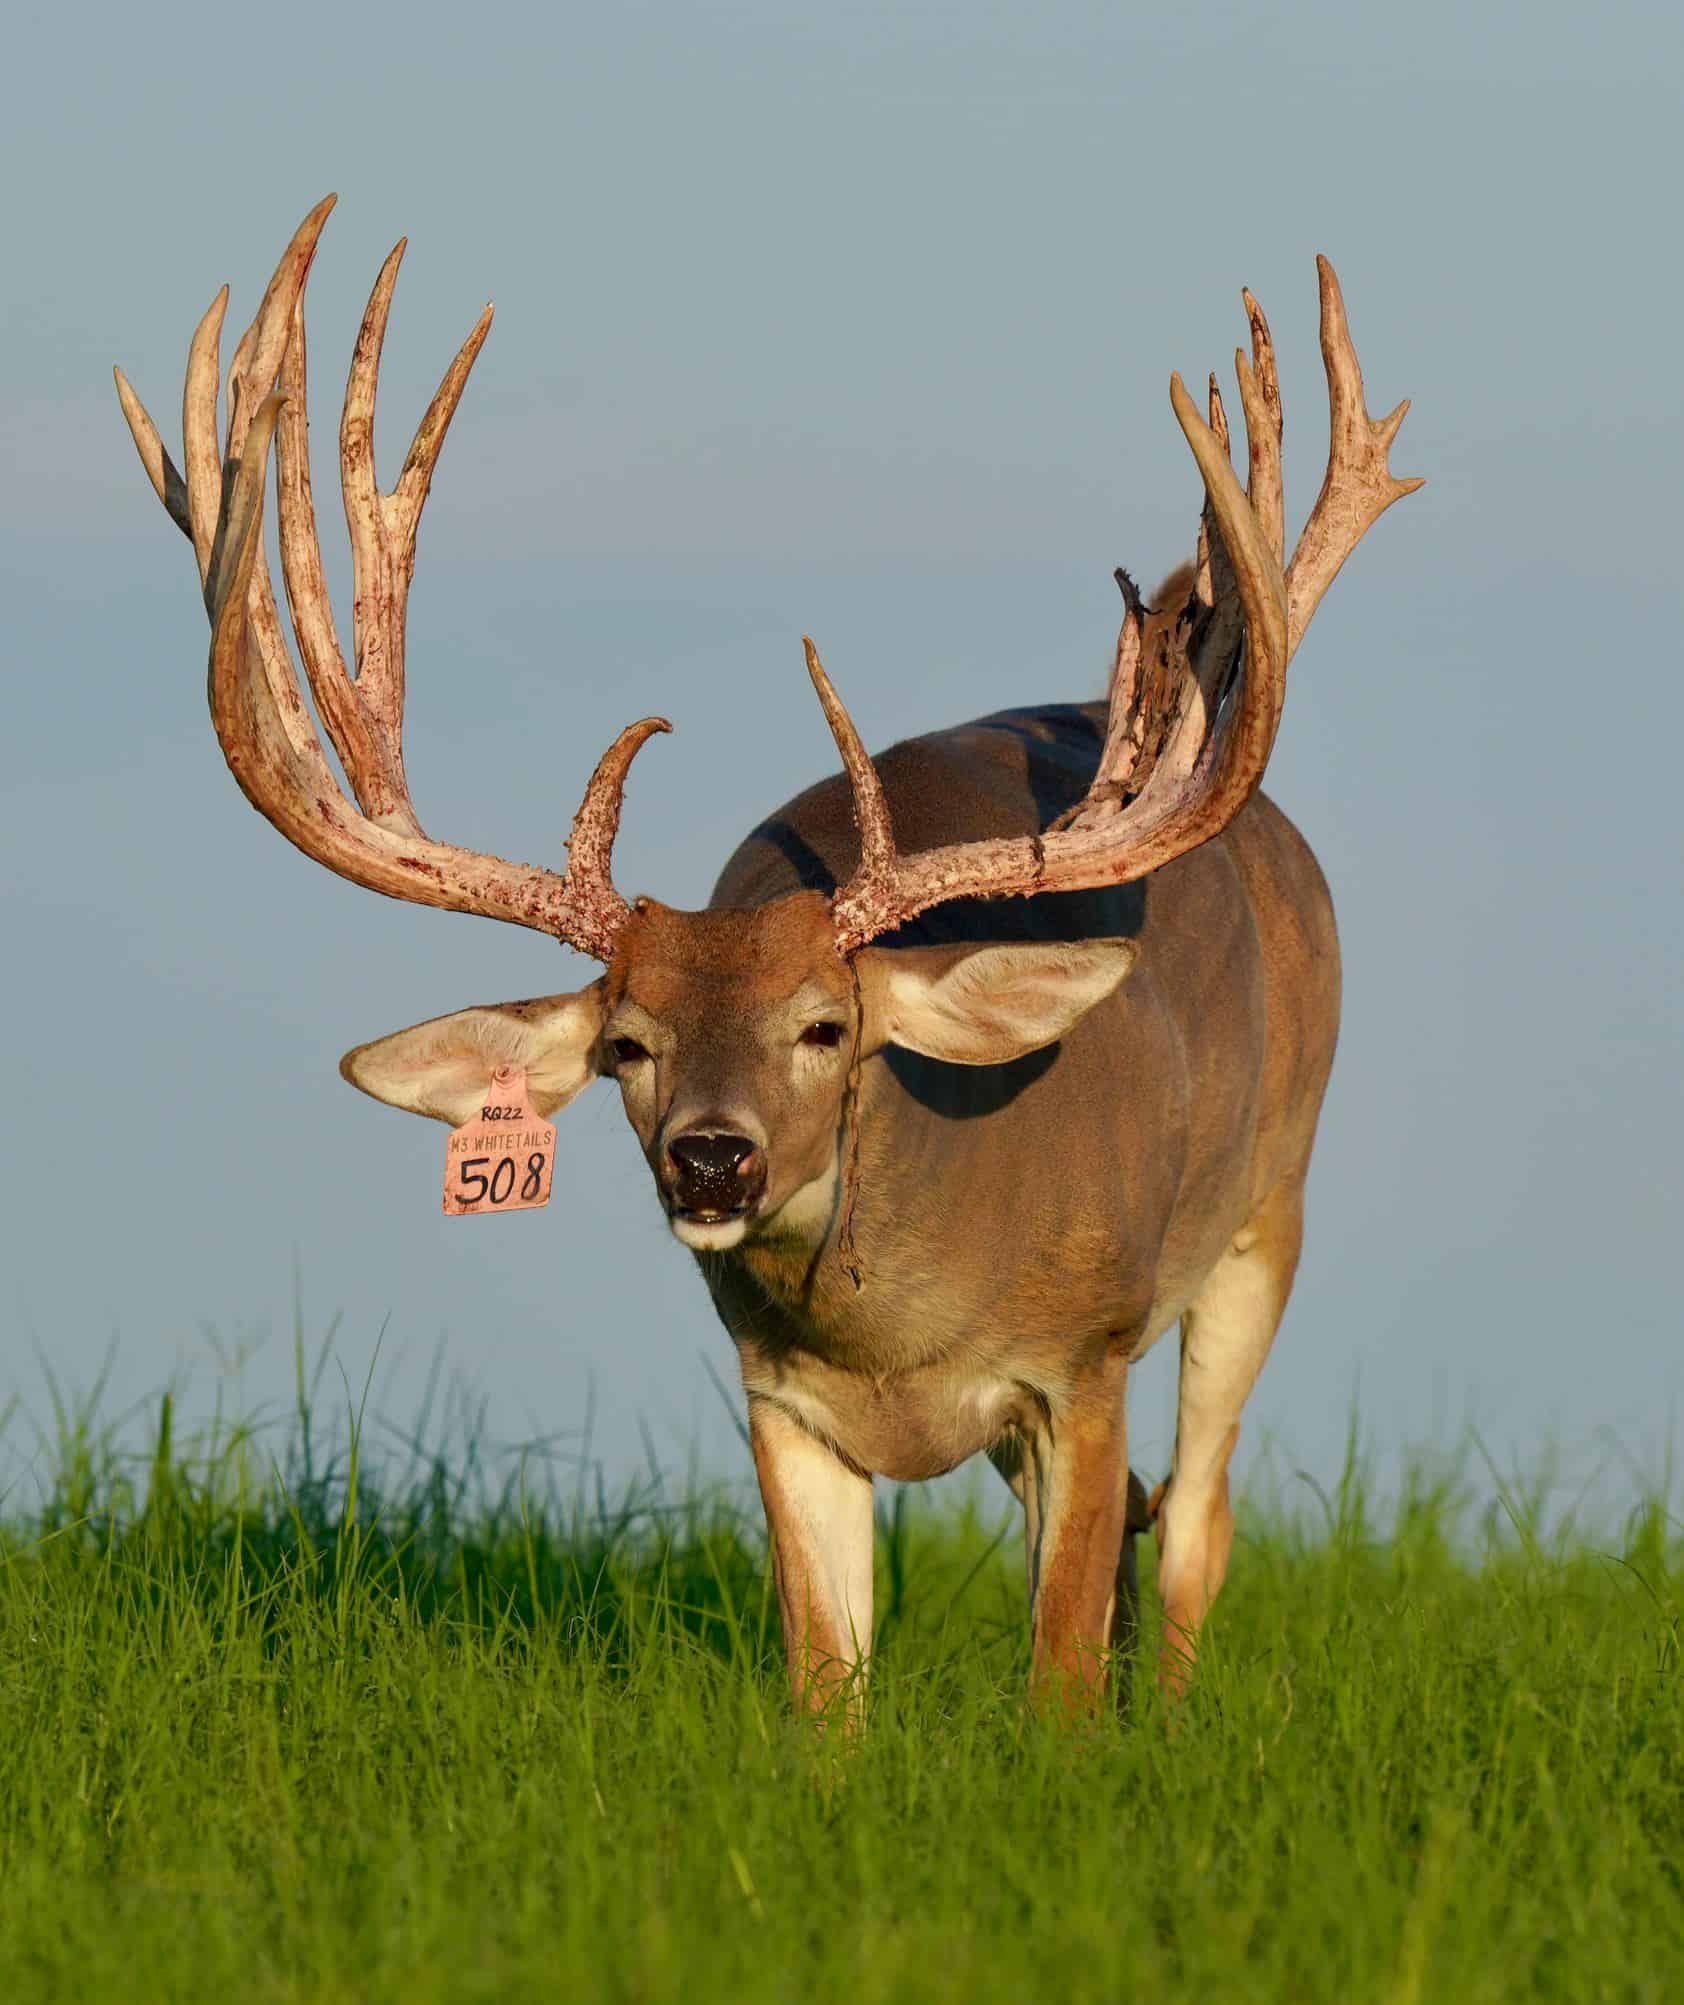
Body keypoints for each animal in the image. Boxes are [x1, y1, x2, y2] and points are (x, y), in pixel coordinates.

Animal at [116, 196, 1418, 1713]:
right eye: (628, 1046)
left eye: (825, 1026)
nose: (711, 1157)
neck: (896, 1334)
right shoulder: (779, 1404)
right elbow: (825, 1684)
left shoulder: (1079, 1361)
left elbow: (1059, 1674)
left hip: (1267, 1210)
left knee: (1199, 1521)